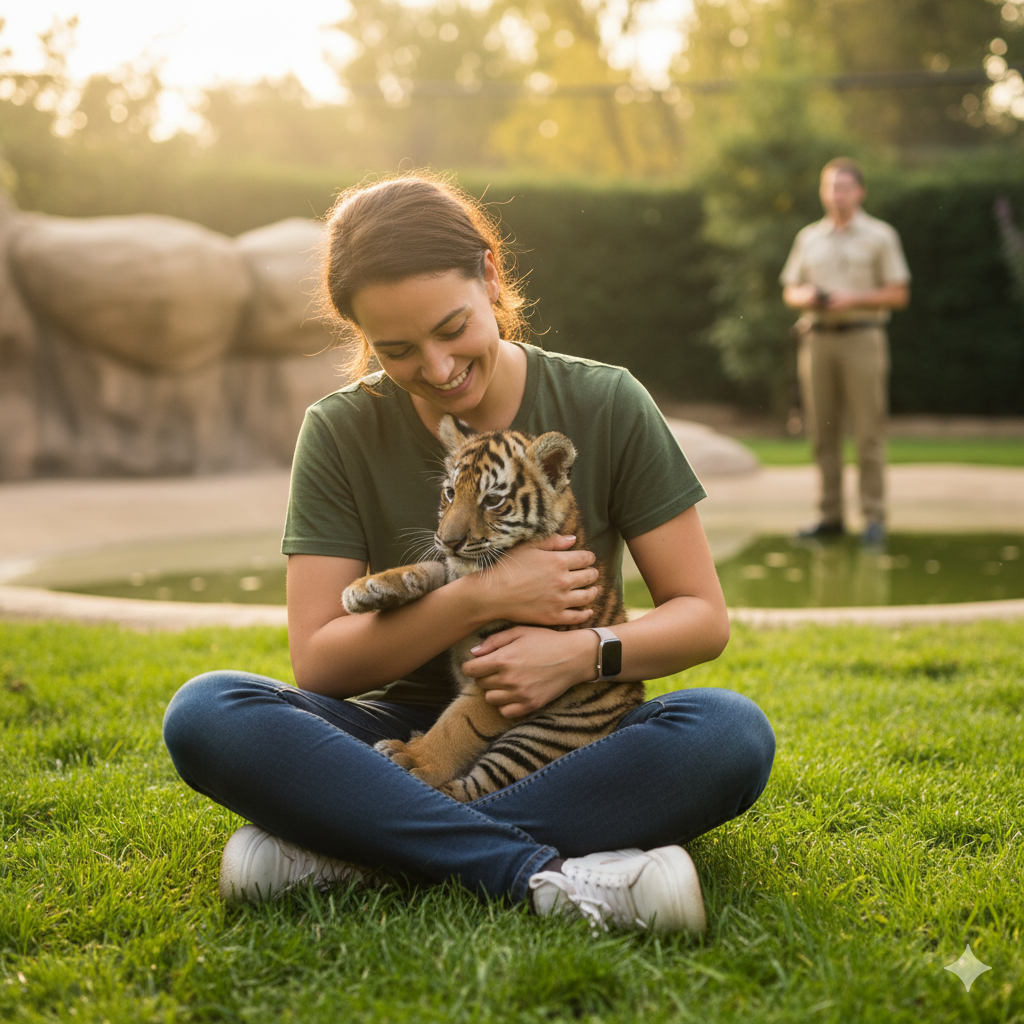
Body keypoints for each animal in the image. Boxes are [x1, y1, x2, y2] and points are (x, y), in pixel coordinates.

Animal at [341, 414, 644, 803]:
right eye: (450, 493)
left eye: (493, 501)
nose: (449, 541)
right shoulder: (455, 573)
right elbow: (436, 571)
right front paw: (369, 588)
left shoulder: (505, 671)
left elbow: (458, 724)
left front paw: (416, 759)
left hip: (543, 735)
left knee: (471, 793)